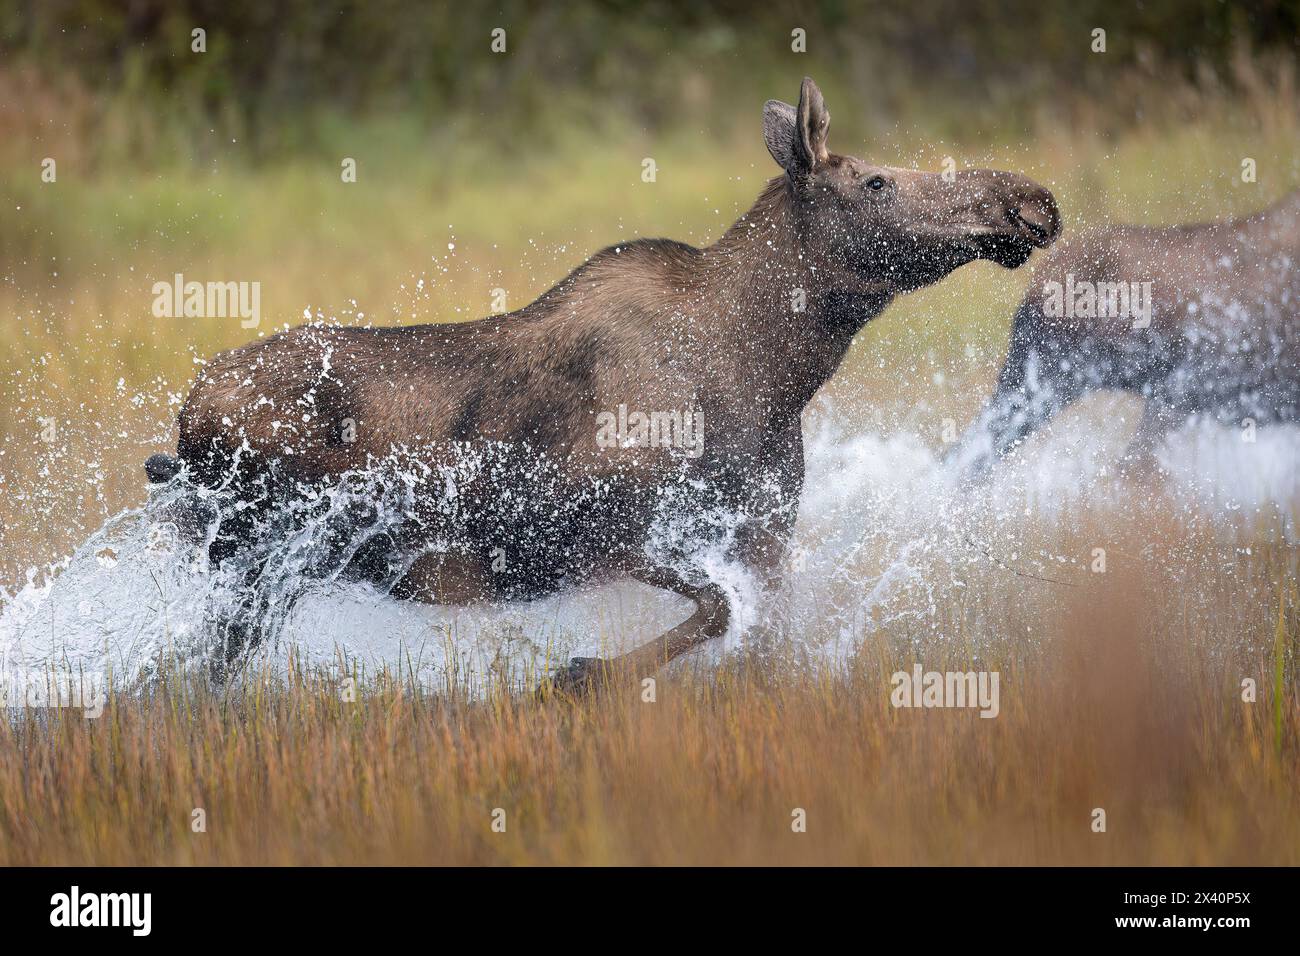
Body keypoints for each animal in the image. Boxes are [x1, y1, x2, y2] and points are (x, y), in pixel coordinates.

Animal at [147, 74, 1060, 686]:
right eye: (877, 179)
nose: (1032, 200)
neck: (773, 370)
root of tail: (183, 426)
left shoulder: (764, 532)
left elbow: (763, 639)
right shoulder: (588, 527)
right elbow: (716, 610)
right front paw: (580, 677)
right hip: (260, 555)